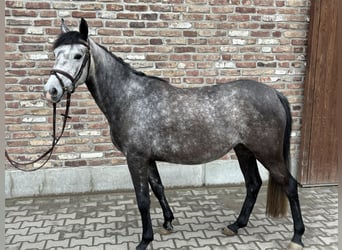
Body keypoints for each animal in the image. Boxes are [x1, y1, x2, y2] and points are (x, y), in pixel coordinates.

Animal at [43, 19, 304, 250]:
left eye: (78, 55)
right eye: (56, 53)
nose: (51, 91)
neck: (130, 98)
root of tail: (274, 93)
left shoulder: (135, 158)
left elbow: (143, 200)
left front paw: (145, 240)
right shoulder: (147, 159)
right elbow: (158, 188)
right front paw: (168, 222)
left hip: (267, 153)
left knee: (289, 185)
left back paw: (297, 237)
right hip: (244, 150)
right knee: (253, 184)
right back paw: (235, 225)